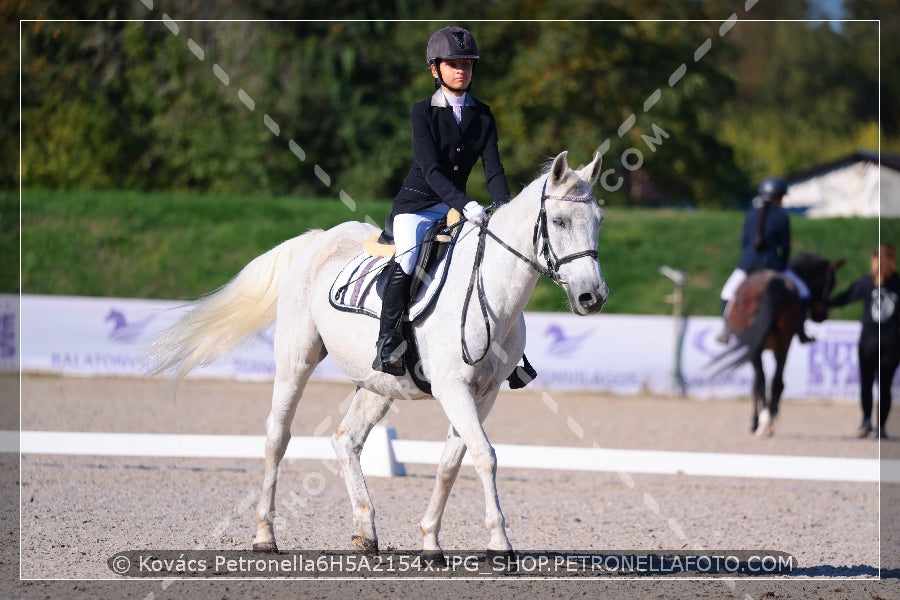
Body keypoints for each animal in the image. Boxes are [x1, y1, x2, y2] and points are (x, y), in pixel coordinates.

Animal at [148, 150, 608, 564]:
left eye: (599, 221)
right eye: (560, 221)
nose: (592, 297)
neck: (490, 289)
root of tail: (318, 238)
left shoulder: (485, 393)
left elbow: (451, 463)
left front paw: (430, 542)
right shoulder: (453, 389)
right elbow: (484, 456)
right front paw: (499, 544)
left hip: (378, 384)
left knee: (346, 440)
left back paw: (365, 532)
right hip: (296, 360)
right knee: (277, 438)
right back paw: (265, 536)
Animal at [712, 252, 840, 436]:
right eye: (830, 283)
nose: (821, 316)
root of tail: (771, 282)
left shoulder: (754, 350)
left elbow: (756, 384)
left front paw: (755, 422)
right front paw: (763, 417)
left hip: (762, 347)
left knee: (763, 381)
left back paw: (765, 421)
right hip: (783, 344)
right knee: (776, 380)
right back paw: (769, 419)